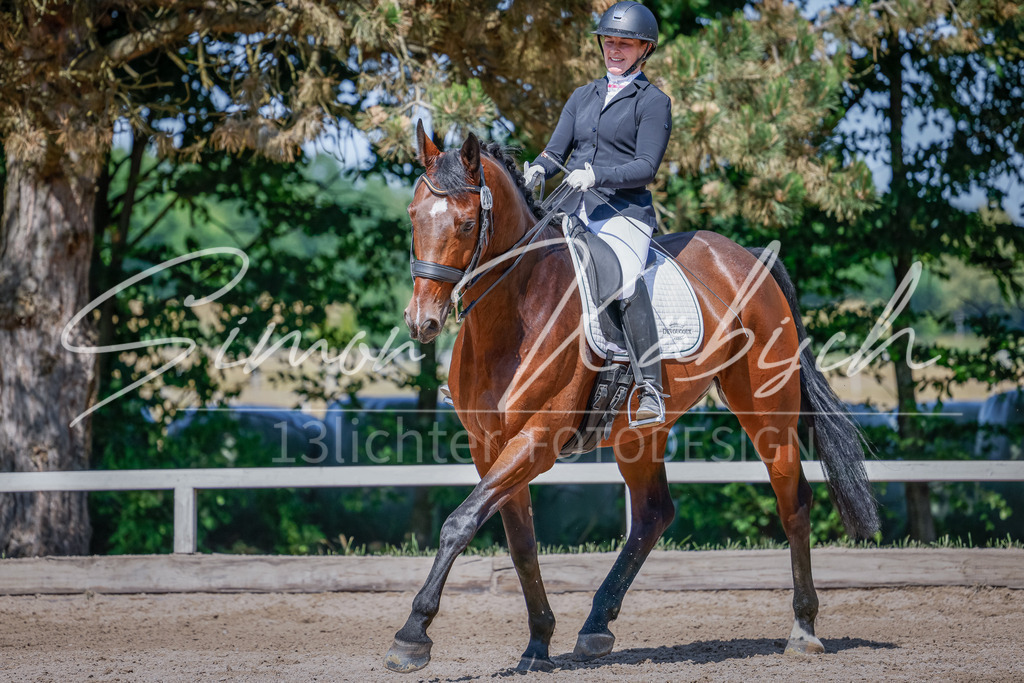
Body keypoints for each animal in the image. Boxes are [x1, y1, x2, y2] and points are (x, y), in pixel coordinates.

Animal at [384, 122, 879, 673]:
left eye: (468, 223)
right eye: (413, 216)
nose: (421, 322)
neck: (513, 314)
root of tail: (749, 257)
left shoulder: (537, 439)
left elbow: (460, 522)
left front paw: (412, 636)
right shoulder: (488, 445)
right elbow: (522, 546)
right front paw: (538, 644)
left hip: (766, 412)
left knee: (793, 502)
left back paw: (803, 629)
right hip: (639, 434)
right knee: (652, 513)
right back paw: (596, 626)